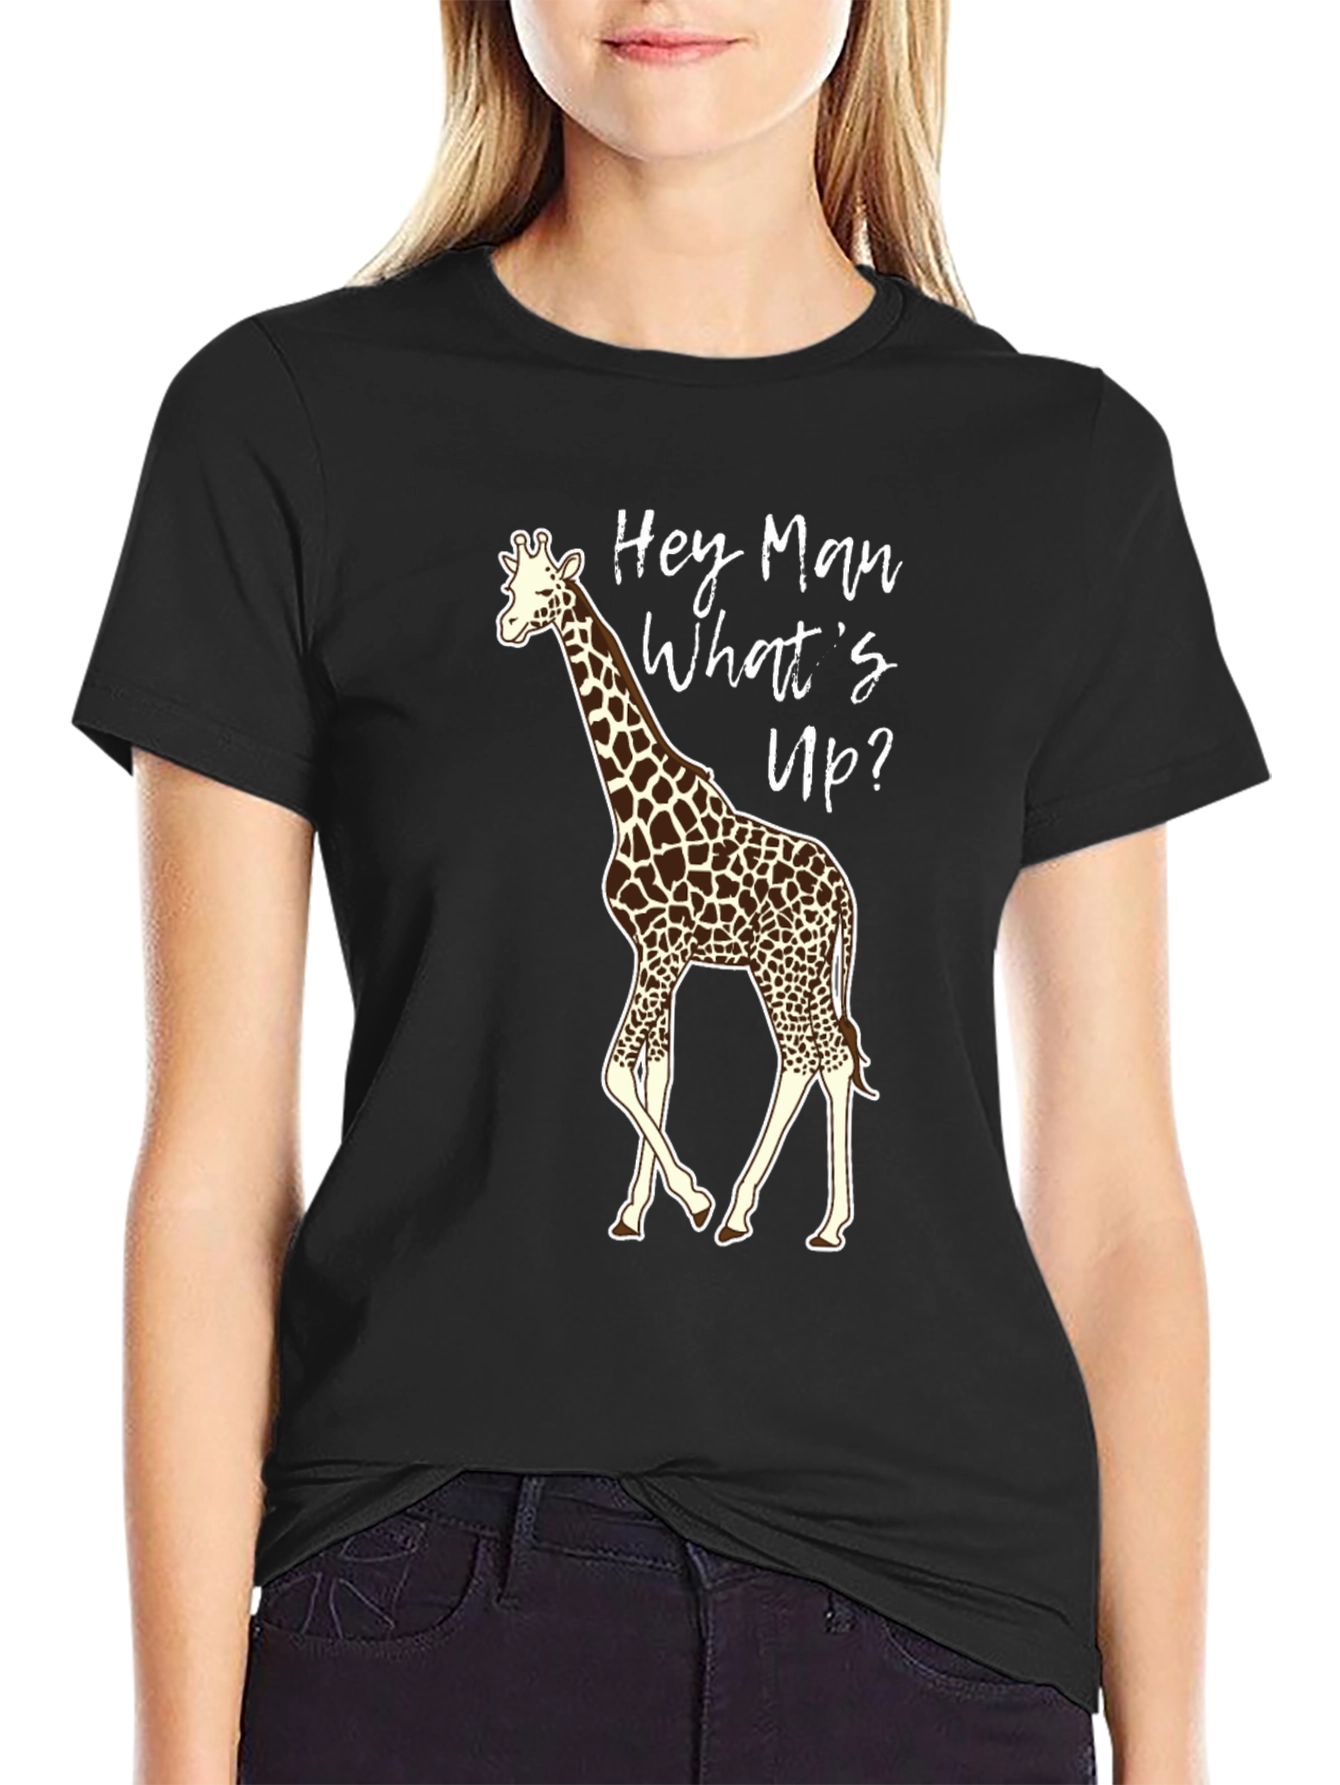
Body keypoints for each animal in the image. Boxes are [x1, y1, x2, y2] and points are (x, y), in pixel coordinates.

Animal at [496, 528, 876, 1250]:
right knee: (828, 1057)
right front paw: (634, 1213)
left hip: (784, 967)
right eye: (511, 585)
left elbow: (619, 1070)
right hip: (804, 970)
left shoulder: (663, 949)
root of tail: (845, 889)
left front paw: (692, 1198)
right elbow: (656, 1071)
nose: (507, 625)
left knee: (807, 1057)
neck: (631, 800)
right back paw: (814, 1220)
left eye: (548, 589)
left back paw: (753, 1213)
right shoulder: (657, 954)